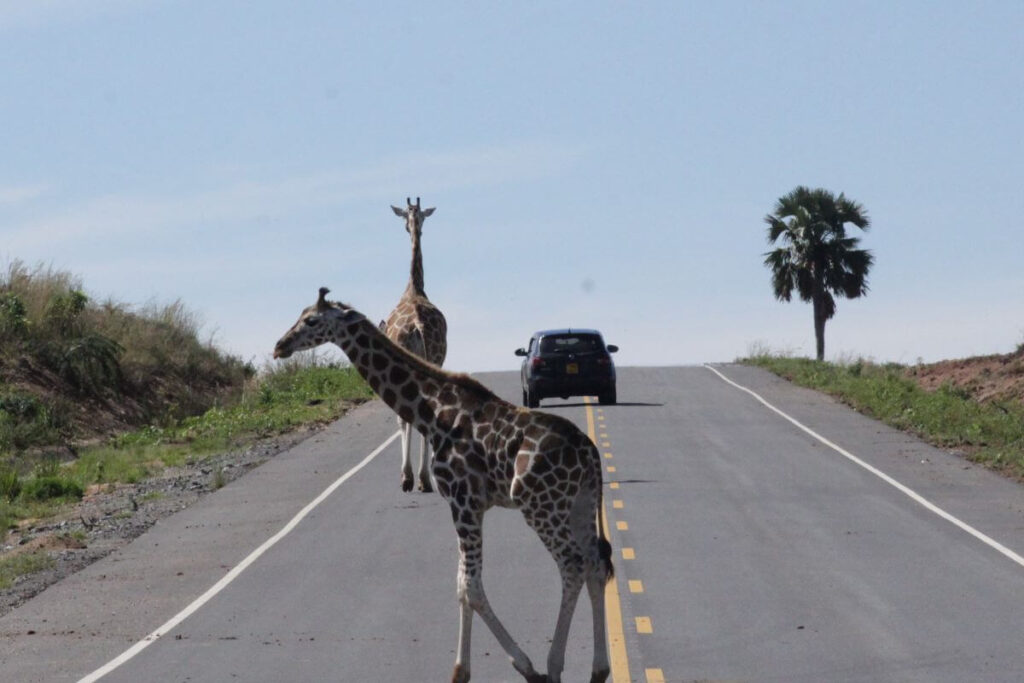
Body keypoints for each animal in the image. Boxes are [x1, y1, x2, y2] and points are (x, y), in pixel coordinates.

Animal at [274, 288, 613, 683]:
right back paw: (599, 670)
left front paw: (522, 667)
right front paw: (461, 670)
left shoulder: (464, 501)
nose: (280, 346)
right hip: (580, 504)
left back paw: (553, 666)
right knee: (595, 564)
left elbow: (472, 587)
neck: (431, 412)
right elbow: (462, 585)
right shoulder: (466, 506)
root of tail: (590, 453)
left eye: (311, 320)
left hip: (541, 506)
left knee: (572, 565)